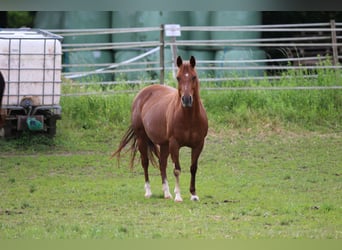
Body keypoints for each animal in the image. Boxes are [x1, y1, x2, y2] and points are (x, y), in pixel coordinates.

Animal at [113, 55, 208, 202]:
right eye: (178, 78)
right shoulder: (174, 144)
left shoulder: (198, 144)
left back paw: (167, 193)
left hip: (164, 144)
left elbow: (193, 168)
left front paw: (193, 194)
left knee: (162, 163)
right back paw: (148, 192)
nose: (186, 100)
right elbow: (177, 169)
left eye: (194, 77)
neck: (189, 118)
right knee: (145, 162)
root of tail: (142, 94)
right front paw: (178, 196)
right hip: (142, 139)